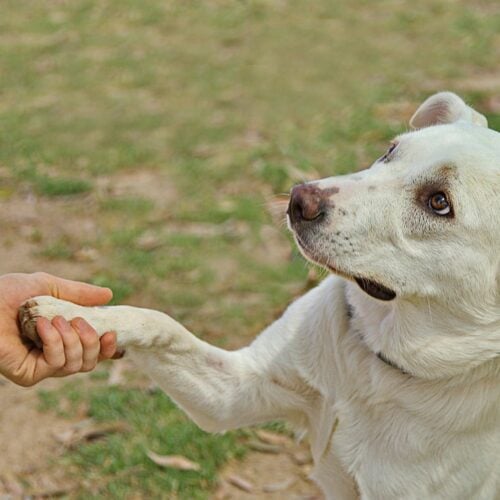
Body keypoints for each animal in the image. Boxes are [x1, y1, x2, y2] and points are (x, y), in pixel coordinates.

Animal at [17, 92, 498, 498]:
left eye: (438, 202)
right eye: (390, 152)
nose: (299, 198)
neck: (377, 363)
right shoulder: (234, 391)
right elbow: (159, 321)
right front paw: (70, 314)